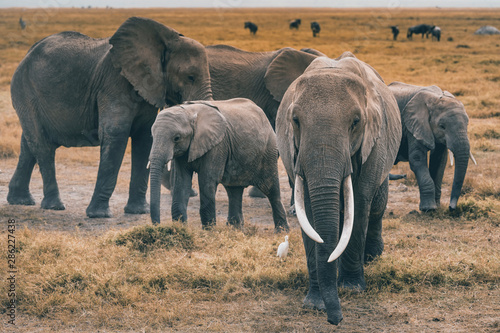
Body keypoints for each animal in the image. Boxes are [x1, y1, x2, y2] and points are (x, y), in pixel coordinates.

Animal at [7, 16, 213, 217]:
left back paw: (21, 201)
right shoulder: (114, 83)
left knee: (28, 144)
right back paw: (55, 206)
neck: (165, 39)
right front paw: (99, 214)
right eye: (190, 77)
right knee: (42, 145)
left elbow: (144, 138)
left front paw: (138, 212)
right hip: (24, 90)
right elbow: (116, 135)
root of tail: (28, 53)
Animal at [148, 98, 290, 231]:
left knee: (271, 189)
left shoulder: (218, 145)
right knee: (234, 191)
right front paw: (180, 229)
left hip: (269, 150)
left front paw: (209, 232)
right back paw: (235, 229)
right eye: (152, 135)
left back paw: (281, 231)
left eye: (176, 138)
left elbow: (207, 181)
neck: (189, 111)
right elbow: (182, 182)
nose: (157, 226)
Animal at [266, 50, 402, 322]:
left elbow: (359, 203)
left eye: (356, 122)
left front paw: (351, 289)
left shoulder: (373, 143)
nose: (335, 319)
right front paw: (314, 303)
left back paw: (372, 258)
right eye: (295, 120)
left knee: (376, 207)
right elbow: (309, 213)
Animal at [388, 81, 470, 210]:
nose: (451, 208)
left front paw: (437, 207)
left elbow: (439, 161)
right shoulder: (413, 125)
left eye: (467, 124)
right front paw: (429, 209)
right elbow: (417, 159)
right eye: (442, 126)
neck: (435, 98)